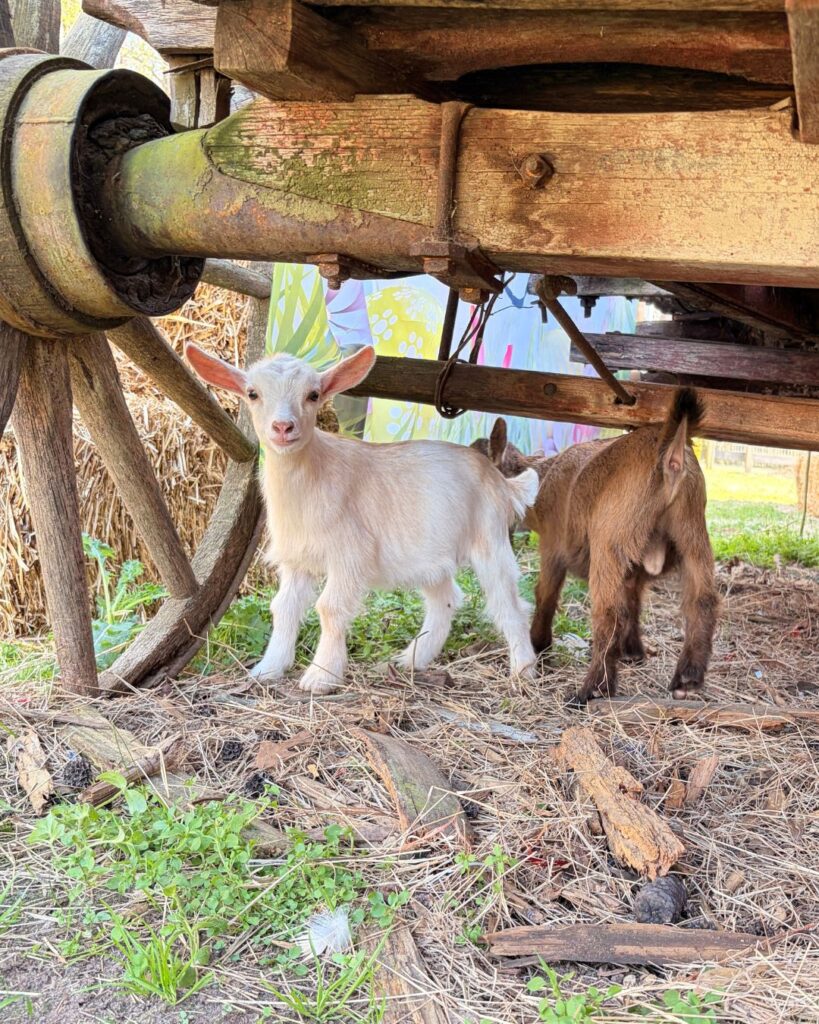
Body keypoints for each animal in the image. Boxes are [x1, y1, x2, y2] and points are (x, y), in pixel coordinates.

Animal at [185, 343, 539, 694]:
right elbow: (283, 608)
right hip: (432, 557)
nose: (283, 427)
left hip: (490, 540)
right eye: (253, 393)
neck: (311, 475)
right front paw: (268, 668)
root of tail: (502, 482)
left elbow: (329, 608)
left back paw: (523, 671)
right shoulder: (297, 560)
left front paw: (321, 677)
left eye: (313, 394)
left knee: (510, 605)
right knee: (446, 601)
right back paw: (412, 660)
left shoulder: (349, 555)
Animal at [472, 390, 718, 703]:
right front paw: (633, 652)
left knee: (608, 614)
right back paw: (688, 678)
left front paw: (539, 644)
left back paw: (593, 688)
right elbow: (633, 600)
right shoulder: (634, 567)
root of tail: (670, 455)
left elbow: (546, 595)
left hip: (609, 539)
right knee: (702, 599)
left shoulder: (553, 546)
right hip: (691, 530)